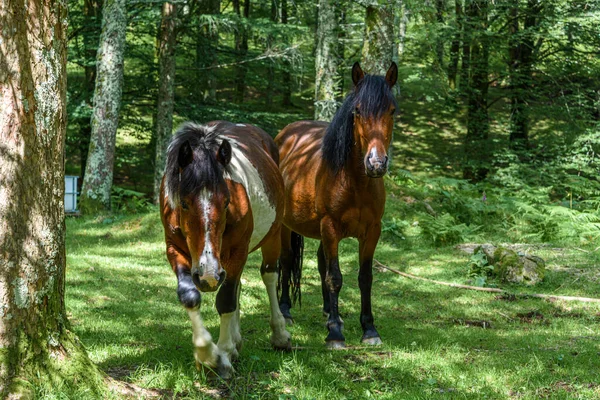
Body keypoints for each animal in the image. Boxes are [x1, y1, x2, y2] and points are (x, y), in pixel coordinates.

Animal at [159, 120, 290, 376]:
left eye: (227, 201)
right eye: (184, 203)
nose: (208, 275)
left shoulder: (238, 250)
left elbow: (226, 300)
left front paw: (224, 353)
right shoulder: (174, 248)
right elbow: (189, 296)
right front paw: (206, 352)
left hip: (272, 236)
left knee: (269, 276)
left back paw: (279, 334)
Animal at [276, 61, 398, 346]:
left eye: (392, 110)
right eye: (358, 110)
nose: (376, 163)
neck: (355, 182)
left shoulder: (372, 232)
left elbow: (365, 278)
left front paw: (369, 329)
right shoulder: (330, 227)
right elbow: (335, 277)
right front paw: (334, 333)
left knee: (321, 262)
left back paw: (328, 311)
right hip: (287, 227)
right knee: (286, 261)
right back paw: (286, 310)